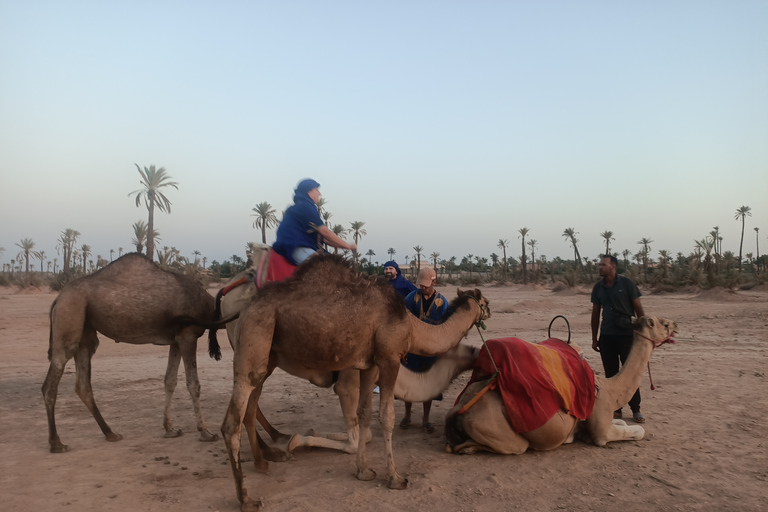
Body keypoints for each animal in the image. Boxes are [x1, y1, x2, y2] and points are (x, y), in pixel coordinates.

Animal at [42, 252, 228, 452]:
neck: (210, 308)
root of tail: (58, 299)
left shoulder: (176, 340)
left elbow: (169, 380)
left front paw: (170, 429)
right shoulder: (188, 334)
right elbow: (193, 384)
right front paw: (206, 432)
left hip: (85, 330)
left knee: (83, 383)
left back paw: (110, 434)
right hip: (70, 313)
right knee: (51, 382)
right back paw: (57, 443)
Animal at [219, 254, 488, 510]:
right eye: (483, 301)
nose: (489, 310)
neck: (412, 327)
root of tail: (244, 307)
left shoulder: (369, 365)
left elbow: (365, 414)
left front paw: (363, 471)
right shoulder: (389, 359)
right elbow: (385, 417)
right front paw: (395, 478)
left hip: (269, 354)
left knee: (250, 408)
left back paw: (266, 458)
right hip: (255, 334)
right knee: (232, 422)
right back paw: (247, 498)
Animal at [444, 316, 680, 456]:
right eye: (664, 324)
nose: (676, 325)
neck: (609, 389)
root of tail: (459, 410)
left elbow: (621, 422)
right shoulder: (601, 431)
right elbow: (637, 431)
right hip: (502, 434)